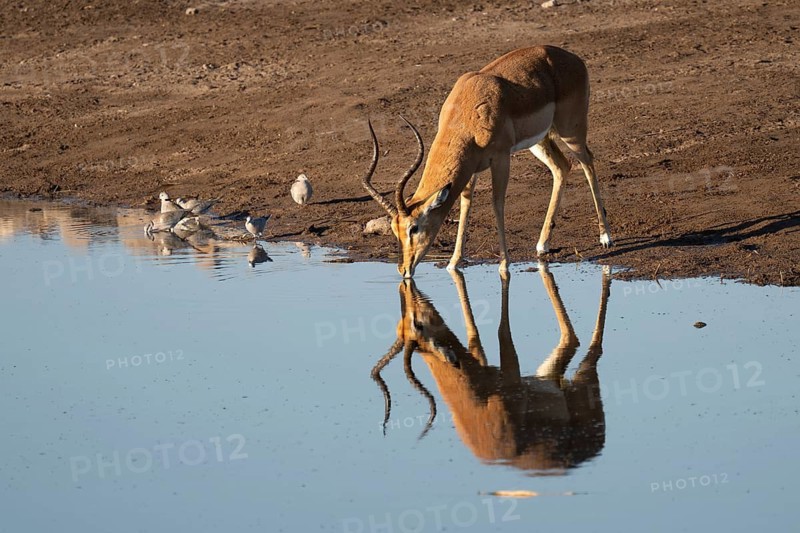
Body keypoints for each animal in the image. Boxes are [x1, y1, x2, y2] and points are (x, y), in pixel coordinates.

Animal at [361, 45, 613, 278]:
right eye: (395, 230)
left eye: (414, 228)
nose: (404, 269)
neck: (468, 112)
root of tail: (573, 58)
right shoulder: (471, 168)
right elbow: (466, 203)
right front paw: (453, 263)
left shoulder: (501, 159)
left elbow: (497, 203)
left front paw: (504, 264)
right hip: (540, 140)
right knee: (562, 167)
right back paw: (543, 245)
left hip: (571, 131)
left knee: (587, 162)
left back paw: (605, 238)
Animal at [372, 265, 611, 473]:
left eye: (418, 325)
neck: (479, 406)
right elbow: (476, 334)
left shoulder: (512, 377)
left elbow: (502, 331)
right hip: (549, 374)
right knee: (571, 341)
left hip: (583, 380)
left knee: (591, 348)